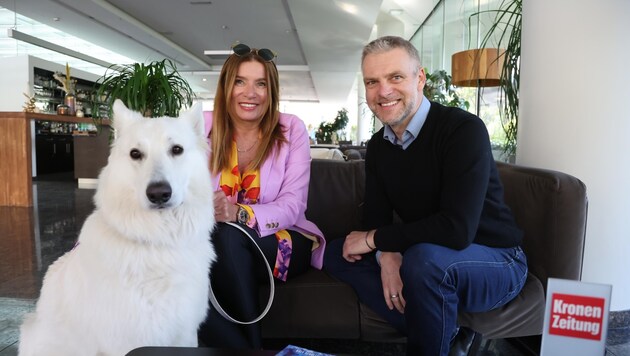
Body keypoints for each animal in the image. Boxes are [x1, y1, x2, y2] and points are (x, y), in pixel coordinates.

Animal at [19, 98, 217, 354]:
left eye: (177, 150)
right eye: (135, 154)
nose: (159, 194)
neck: (158, 243)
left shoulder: (185, 334)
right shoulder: (126, 342)